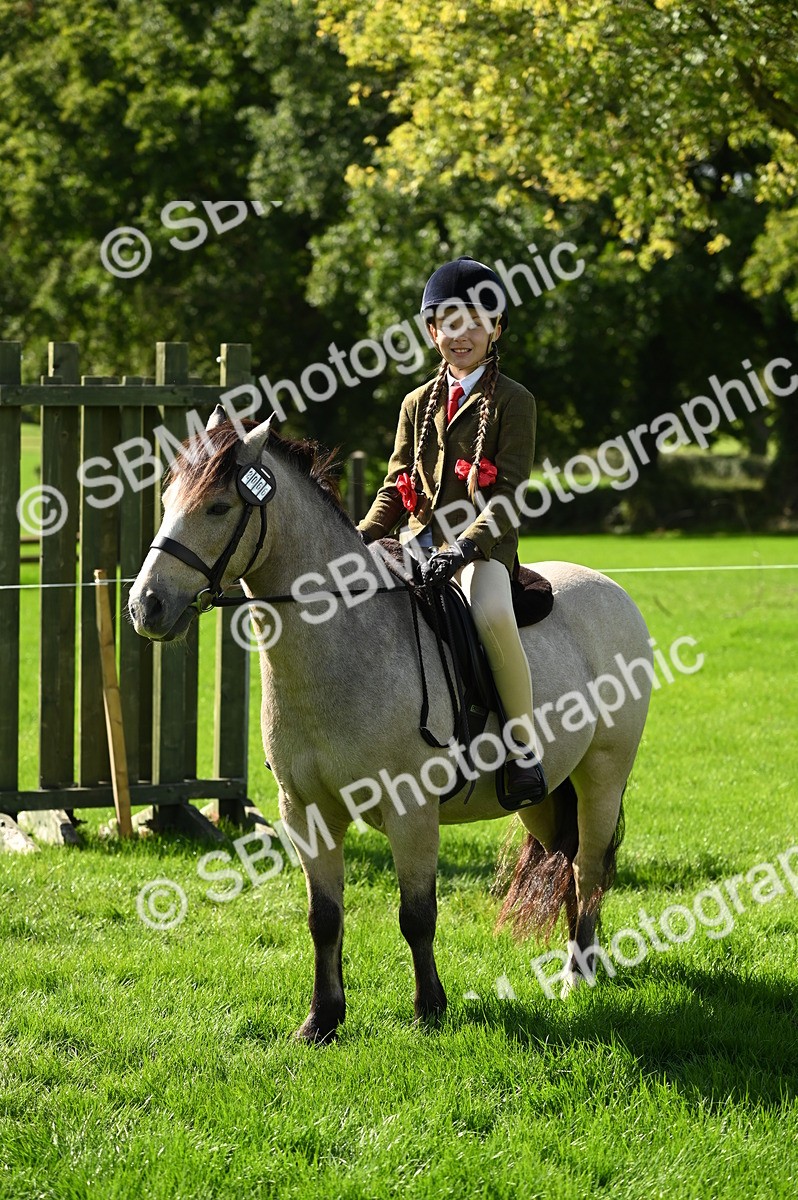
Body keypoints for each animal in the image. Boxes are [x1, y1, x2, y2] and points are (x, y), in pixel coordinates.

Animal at [129, 411, 653, 1043]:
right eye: (166, 501)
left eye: (217, 507)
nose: (146, 606)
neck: (340, 643)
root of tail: (610, 588)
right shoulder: (305, 813)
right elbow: (324, 918)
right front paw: (322, 1020)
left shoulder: (412, 812)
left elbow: (417, 914)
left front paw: (429, 1009)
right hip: (547, 796)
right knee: (569, 866)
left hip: (603, 776)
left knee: (589, 867)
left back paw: (580, 975)